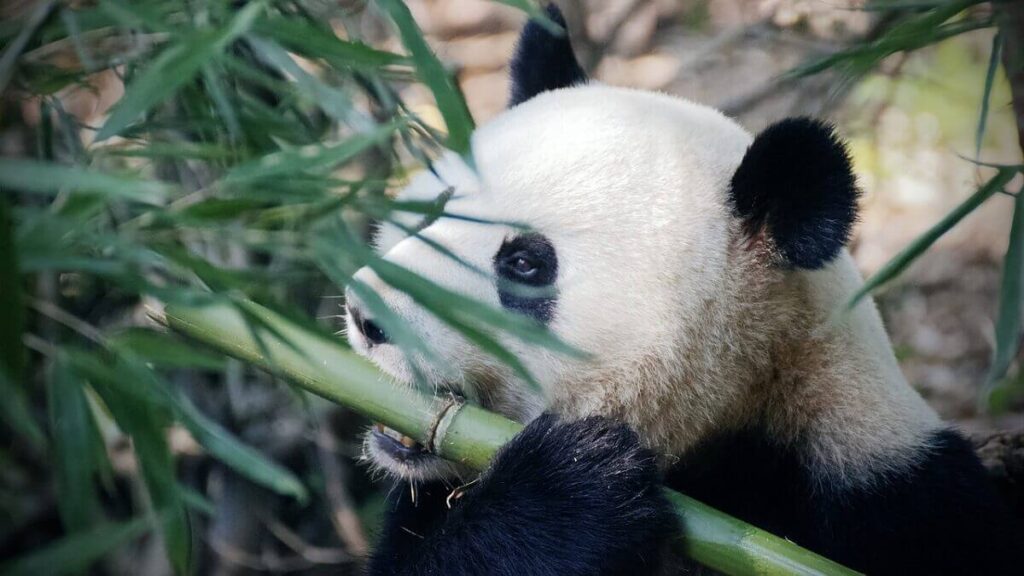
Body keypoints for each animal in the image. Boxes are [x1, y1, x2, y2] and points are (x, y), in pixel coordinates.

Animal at [343, 5, 1020, 575]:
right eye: (434, 207)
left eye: (526, 264)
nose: (367, 313)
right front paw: (572, 488)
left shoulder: (891, 496)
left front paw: (575, 480)